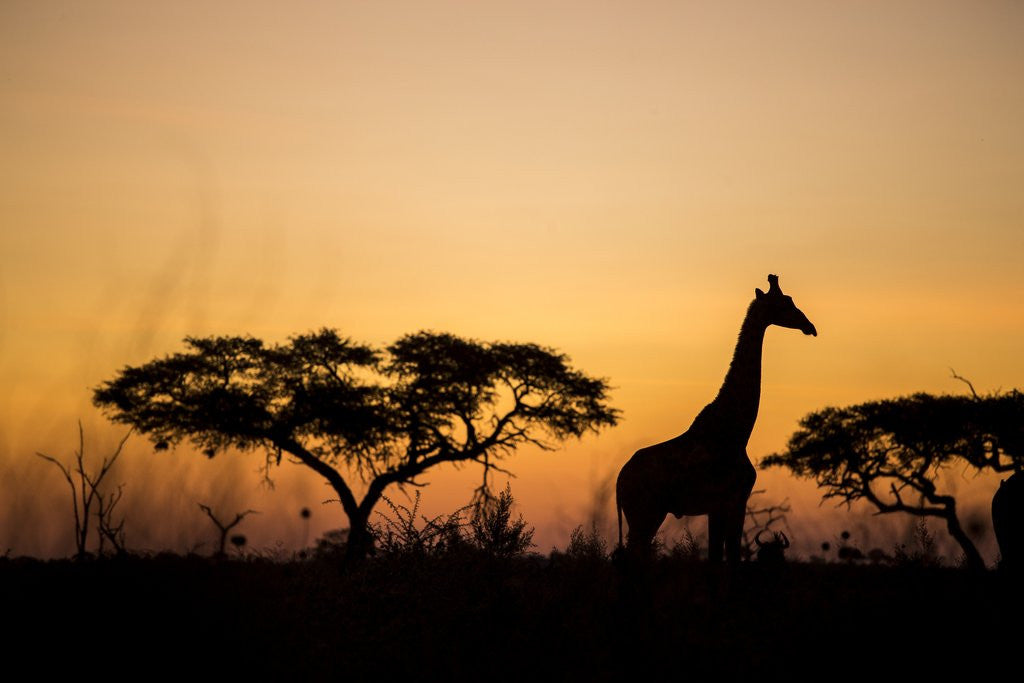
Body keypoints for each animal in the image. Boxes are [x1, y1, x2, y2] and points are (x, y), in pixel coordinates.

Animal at [616, 274, 817, 562]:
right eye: (785, 303)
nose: (809, 326)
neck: (737, 432)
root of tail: (619, 482)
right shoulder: (733, 499)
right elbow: (729, 556)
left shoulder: (719, 506)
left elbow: (718, 555)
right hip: (645, 513)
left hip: (645, 515)